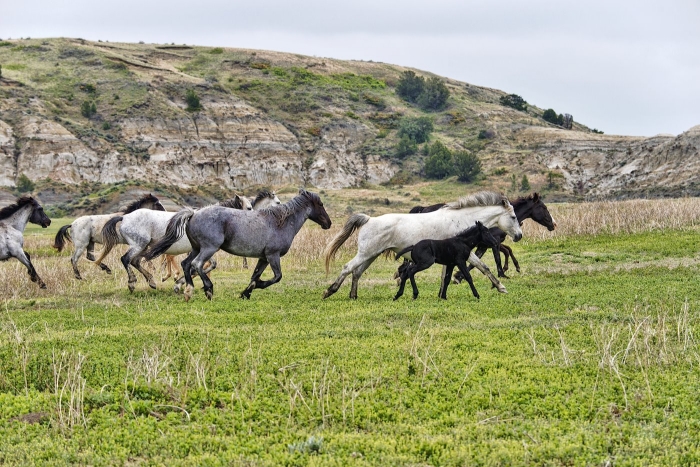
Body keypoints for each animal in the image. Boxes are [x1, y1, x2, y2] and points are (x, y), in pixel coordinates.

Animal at [96, 195, 252, 292]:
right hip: (139, 245)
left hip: (145, 247)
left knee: (135, 261)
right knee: (126, 259)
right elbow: (203, 265)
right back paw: (132, 283)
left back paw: (152, 282)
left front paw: (181, 282)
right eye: (249, 208)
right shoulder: (205, 249)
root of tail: (124, 217)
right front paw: (181, 283)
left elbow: (204, 265)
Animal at [144, 189, 332, 301]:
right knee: (197, 264)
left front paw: (245, 293)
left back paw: (188, 290)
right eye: (321, 204)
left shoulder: (264, 258)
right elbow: (276, 277)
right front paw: (255, 287)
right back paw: (208, 290)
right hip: (208, 248)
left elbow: (255, 276)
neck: (280, 223)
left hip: (196, 248)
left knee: (186, 264)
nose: (328, 223)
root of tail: (193, 214)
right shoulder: (273, 256)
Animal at [323, 191, 523, 300]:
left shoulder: (453, 257)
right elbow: (482, 267)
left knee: (356, 272)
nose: (519, 236)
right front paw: (501, 287)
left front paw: (441, 294)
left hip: (370, 255)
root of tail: (368, 219)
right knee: (347, 268)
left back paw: (353, 296)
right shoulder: (462, 254)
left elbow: (454, 274)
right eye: (513, 217)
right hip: (365, 254)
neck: (460, 220)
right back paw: (329, 291)